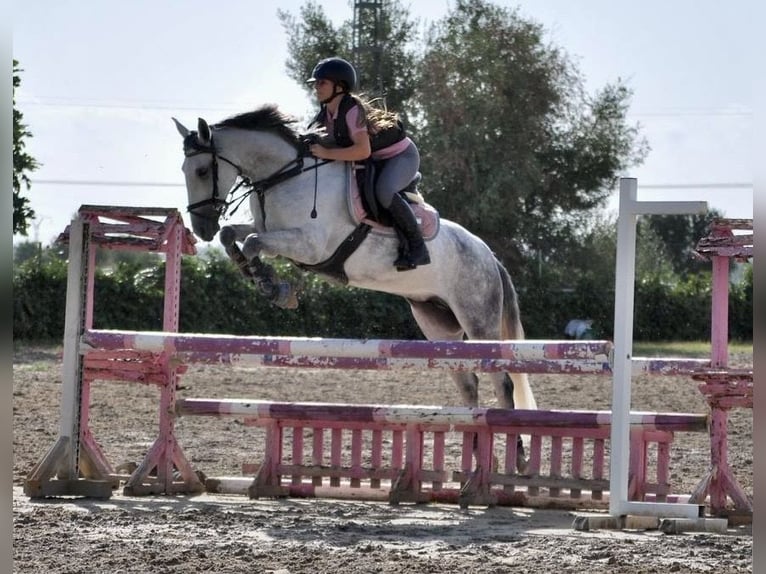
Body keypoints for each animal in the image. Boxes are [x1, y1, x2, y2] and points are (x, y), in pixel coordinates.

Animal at [172, 105, 537, 468]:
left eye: (202, 170)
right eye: (185, 170)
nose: (201, 228)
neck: (286, 176)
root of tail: (489, 256)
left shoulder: (309, 245)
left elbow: (251, 242)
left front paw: (272, 286)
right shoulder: (273, 233)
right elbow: (234, 235)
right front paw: (259, 277)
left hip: (478, 319)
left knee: (502, 382)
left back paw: (515, 458)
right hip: (439, 325)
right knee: (468, 383)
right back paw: (477, 454)